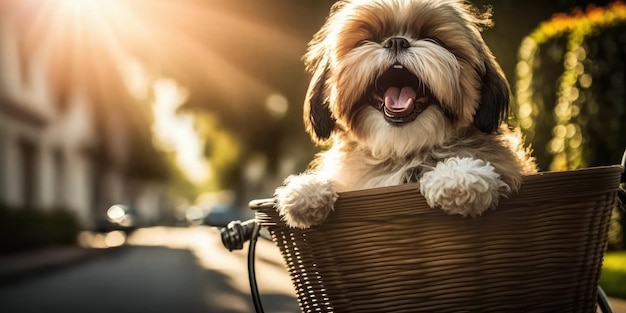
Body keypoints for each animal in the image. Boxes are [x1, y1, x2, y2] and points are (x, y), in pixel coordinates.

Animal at [274, 0, 536, 229]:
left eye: (432, 39)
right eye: (367, 40)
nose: (397, 41)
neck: (403, 148)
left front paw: (459, 177)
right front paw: (307, 190)